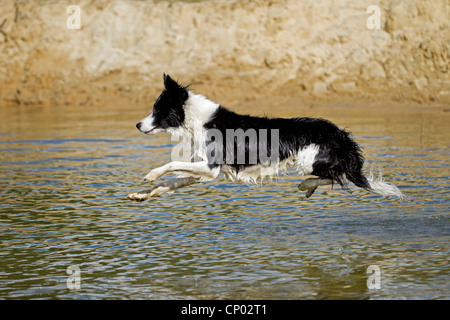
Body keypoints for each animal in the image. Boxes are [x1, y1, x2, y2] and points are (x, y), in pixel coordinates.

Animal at [127, 74, 404, 201]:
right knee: (338, 176)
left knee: (337, 176)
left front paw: (150, 174)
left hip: (309, 159)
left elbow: (171, 164)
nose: (138, 124)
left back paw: (306, 185)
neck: (196, 119)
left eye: (157, 110)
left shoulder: (211, 167)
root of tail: (340, 134)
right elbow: (173, 181)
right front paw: (144, 194)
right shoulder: (203, 171)